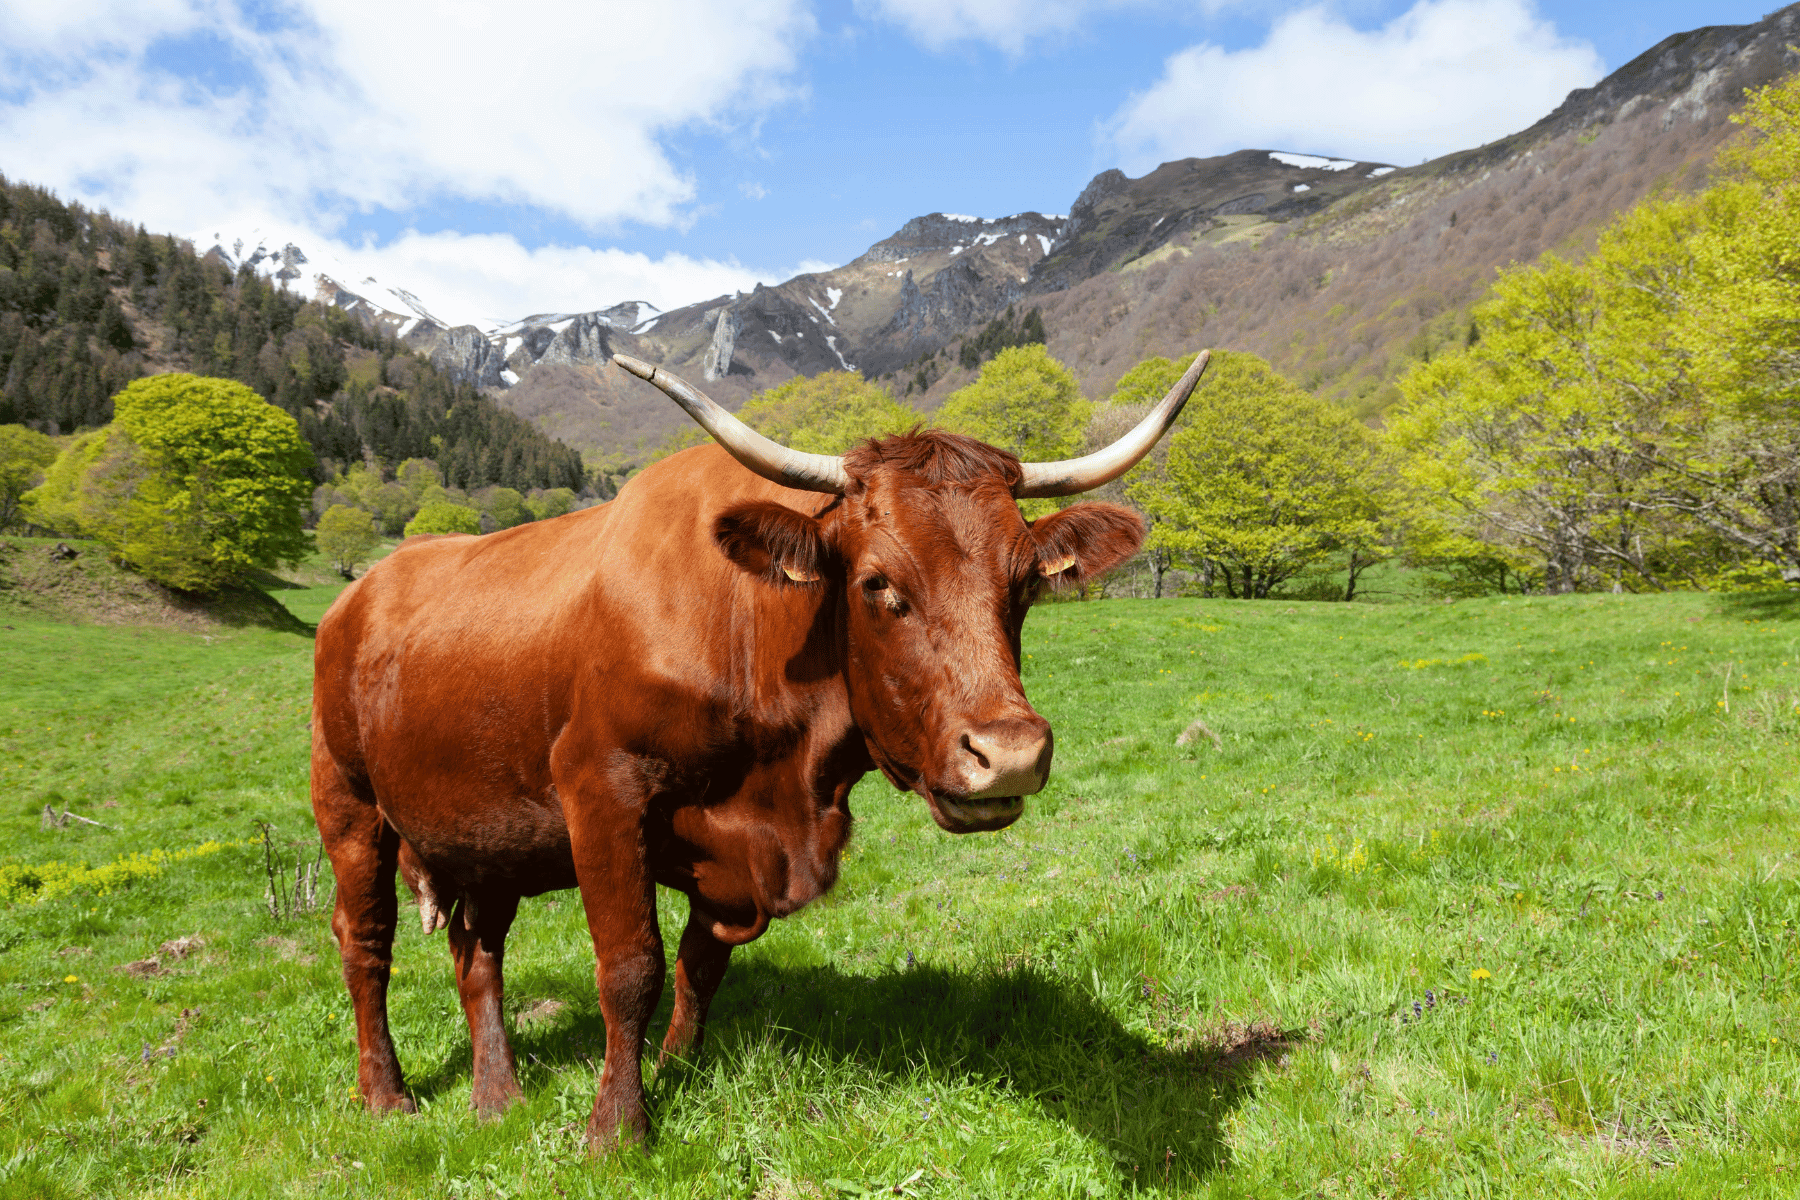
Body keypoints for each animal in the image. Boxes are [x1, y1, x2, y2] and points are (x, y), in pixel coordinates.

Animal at [310, 348, 1212, 1148]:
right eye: (877, 583)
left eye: (1024, 584)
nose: (1011, 752)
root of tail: (363, 590)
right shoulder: (600, 789)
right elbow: (630, 966)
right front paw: (617, 1128)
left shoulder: (733, 855)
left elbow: (698, 964)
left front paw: (675, 1070)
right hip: (349, 804)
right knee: (366, 946)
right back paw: (387, 1096)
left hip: (483, 832)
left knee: (477, 951)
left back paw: (497, 1097)